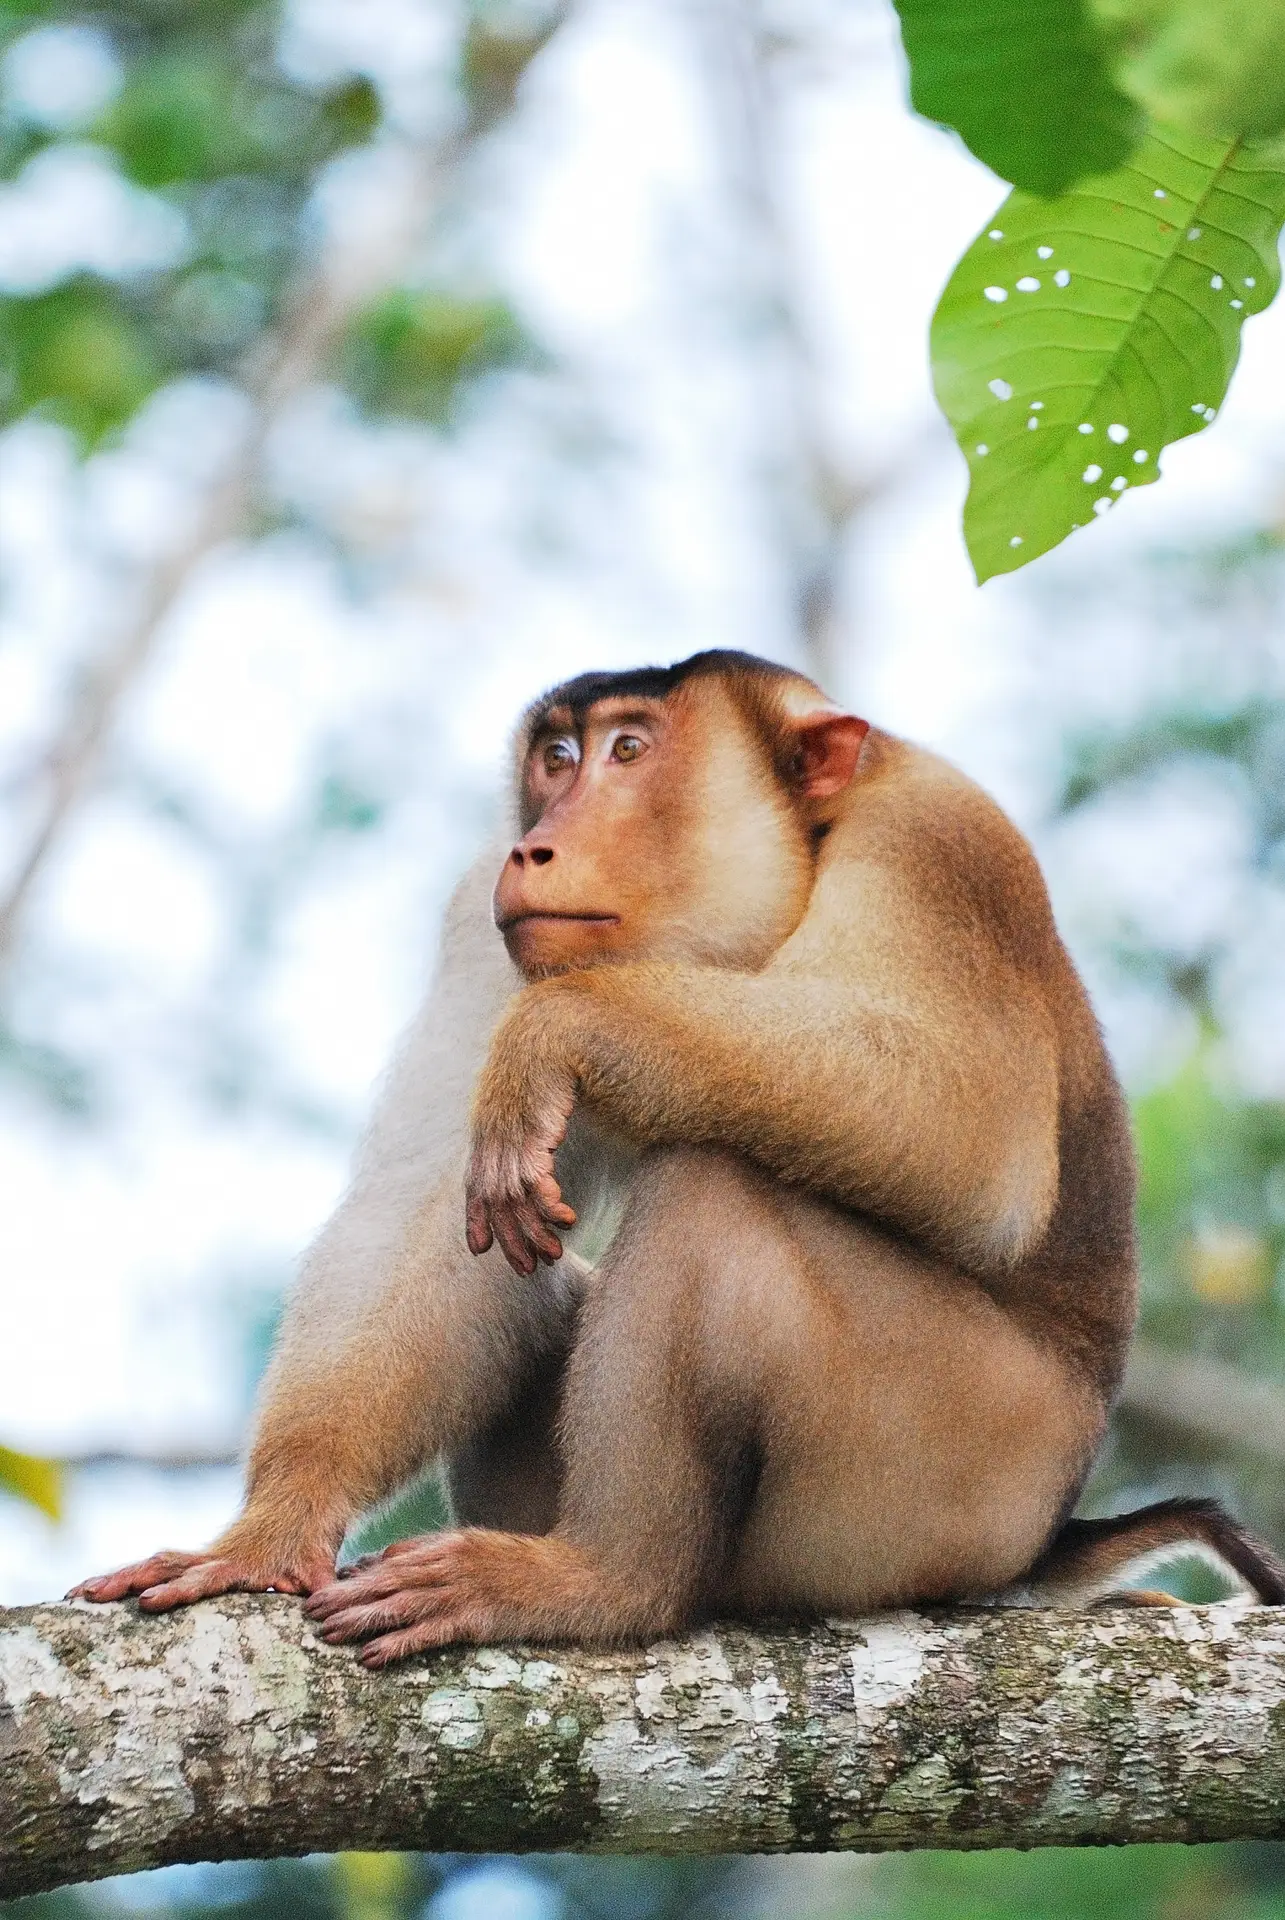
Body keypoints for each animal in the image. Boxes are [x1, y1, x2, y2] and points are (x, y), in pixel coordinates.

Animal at [72, 648, 1283, 1666]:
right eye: (554, 758)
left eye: (627, 748)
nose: (536, 843)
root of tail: (1039, 1535)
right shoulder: (487, 927)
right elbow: (428, 1213)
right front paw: (270, 1533)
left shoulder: (942, 837)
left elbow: (965, 1131)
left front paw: (560, 1031)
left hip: (951, 1470)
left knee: (715, 1189)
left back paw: (608, 1583)